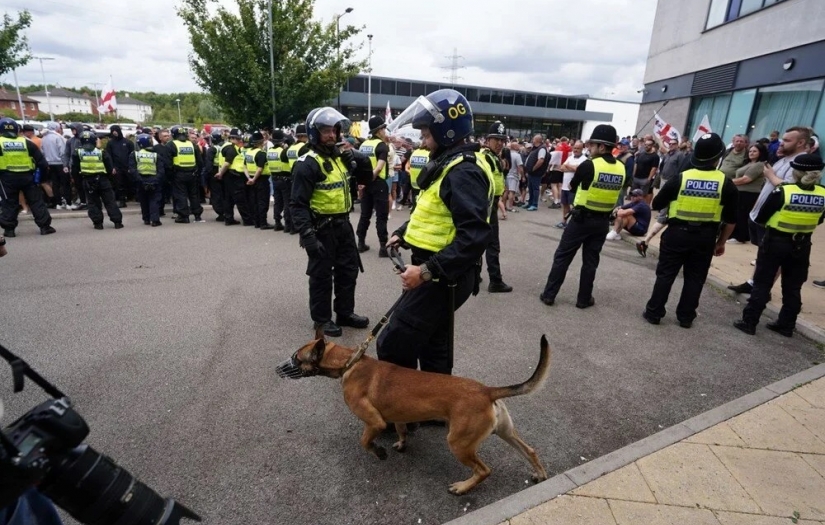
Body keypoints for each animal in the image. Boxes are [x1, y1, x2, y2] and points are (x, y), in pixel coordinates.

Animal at [274, 334, 552, 494]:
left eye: (296, 358)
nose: (278, 368)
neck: (349, 362)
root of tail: (486, 391)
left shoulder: (374, 422)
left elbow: (364, 441)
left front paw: (379, 452)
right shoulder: (398, 417)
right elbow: (401, 430)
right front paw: (401, 444)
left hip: (459, 443)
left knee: (484, 471)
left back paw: (463, 487)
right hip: (505, 432)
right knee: (529, 450)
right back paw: (540, 473)